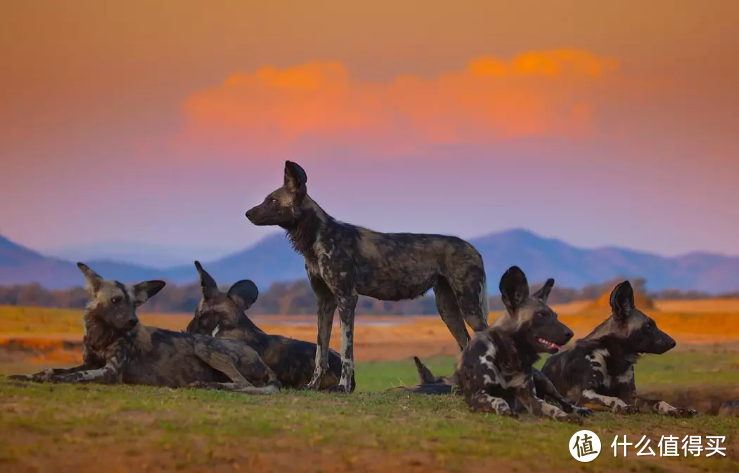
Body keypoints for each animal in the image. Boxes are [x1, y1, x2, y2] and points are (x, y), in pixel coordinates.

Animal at [8, 262, 280, 394]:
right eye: (116, 300)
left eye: (136, 304)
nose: (133, 321)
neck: (102, 335)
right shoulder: (89, 363)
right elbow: (54, 369)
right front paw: (30, 376)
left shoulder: (109, 372)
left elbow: (72, 376)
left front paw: (53, 379)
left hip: (204, 345)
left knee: (243, 384)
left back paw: (208, 385)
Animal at [244, 160, 492, 392]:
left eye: (273, 200)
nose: (247, 213)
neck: (317, 238)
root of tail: (474, 248)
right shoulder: (324, 302)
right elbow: (320, 352)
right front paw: (313, 385)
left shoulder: (347, 299)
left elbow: (347, 352)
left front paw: (343, 387)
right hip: (447, 310)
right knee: (466, 344)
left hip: (469, 309)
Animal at [540, 278, 696, 414]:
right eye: (648, 326)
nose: (673, 342)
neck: (614, 357)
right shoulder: (586, 395)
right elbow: (611, 398)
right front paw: (622, 407)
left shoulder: (631, 395)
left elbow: (658, 401)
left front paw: (677, 409)